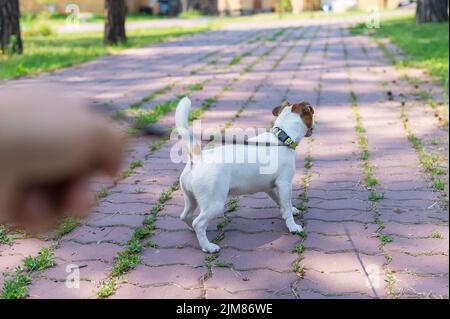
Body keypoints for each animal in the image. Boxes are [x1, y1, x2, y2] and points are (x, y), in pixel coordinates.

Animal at [176, 97, 316, 252]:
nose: (315, 125)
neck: (281, 139)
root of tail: (198, 158)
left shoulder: (271, 188)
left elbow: (282, 203)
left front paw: (292, 209)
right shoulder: (285, 184)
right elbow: (286, 207)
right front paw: (293, 226)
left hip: (191, 199)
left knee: (185, 216)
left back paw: (193, 231)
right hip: (215, 203)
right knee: (198, 223)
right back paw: (208, 247)